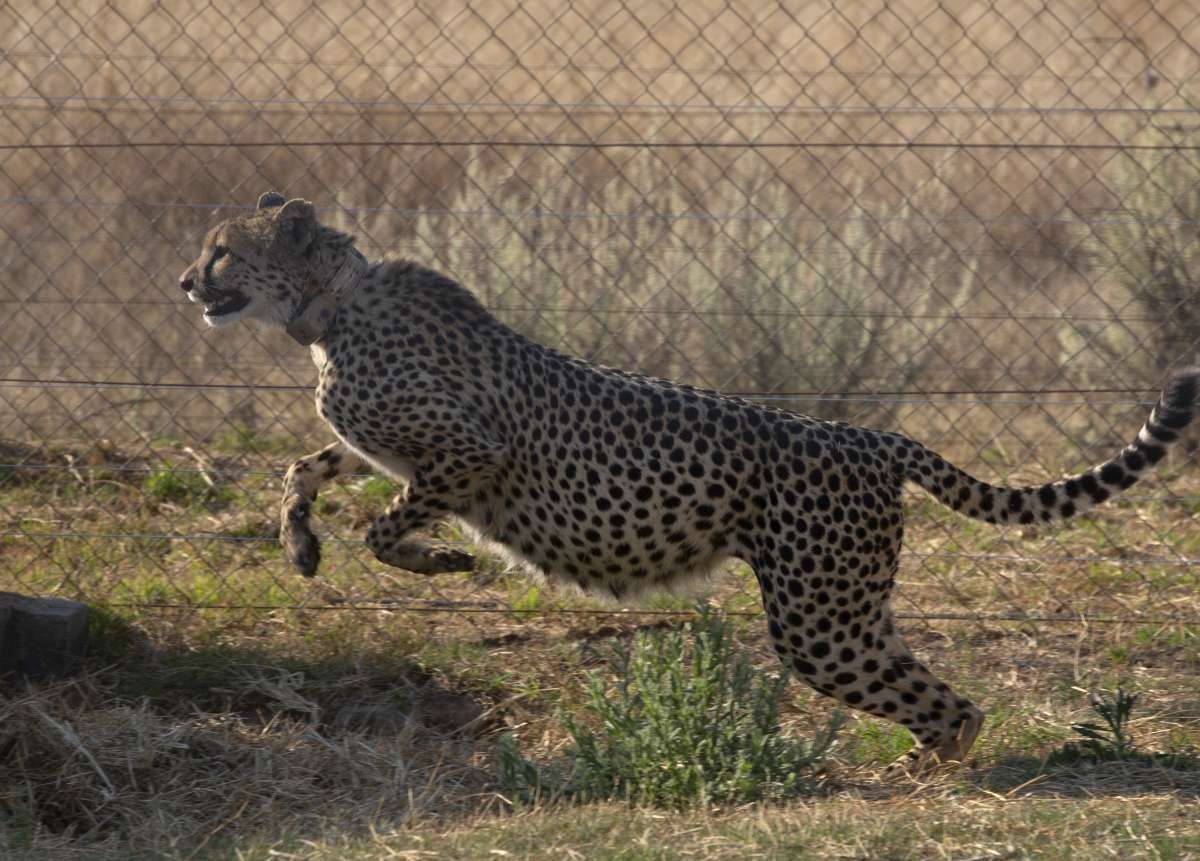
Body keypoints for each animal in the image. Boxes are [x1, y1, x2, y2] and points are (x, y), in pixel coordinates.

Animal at [180, 194, 1200, 777]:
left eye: (222, 250)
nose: (187, 281)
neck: (325, 307)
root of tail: (867, 431)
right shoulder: (393, 450)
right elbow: (307, 467)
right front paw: (299, 543)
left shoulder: (472, 454)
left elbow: (387, 527)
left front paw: (439, 566)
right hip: (850, 609)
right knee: (939, 694)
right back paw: (925, 767)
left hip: (819, 621)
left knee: (948, 703)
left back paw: (925, 776)